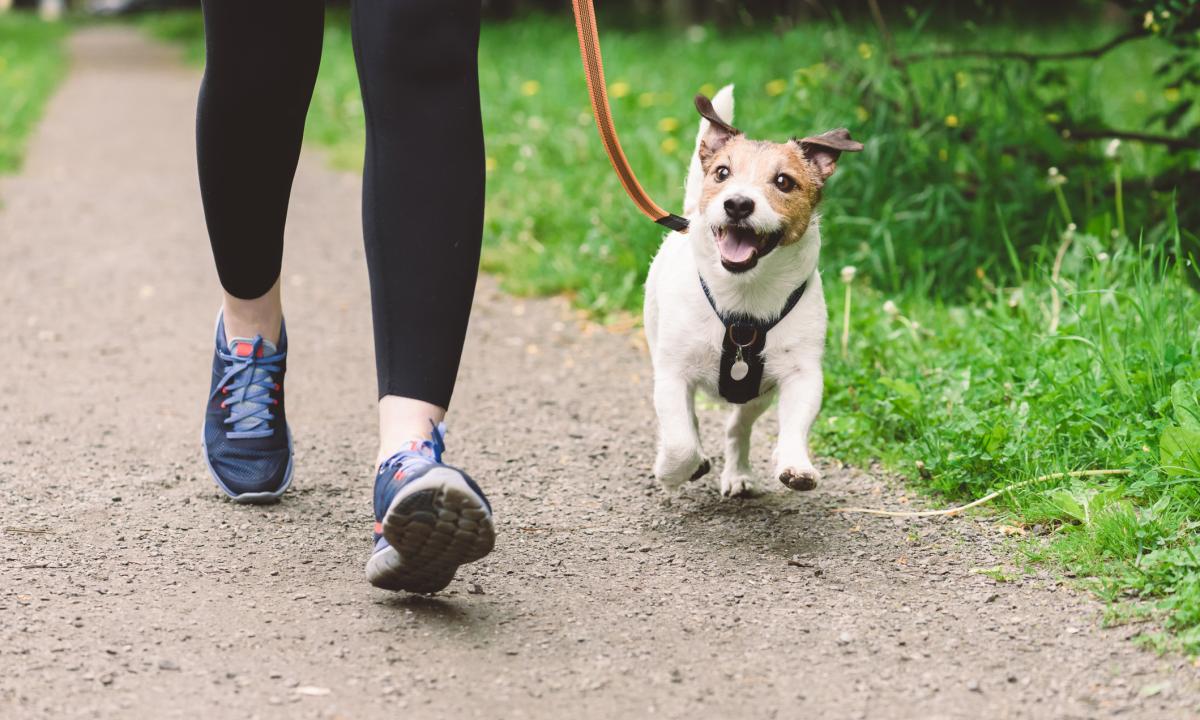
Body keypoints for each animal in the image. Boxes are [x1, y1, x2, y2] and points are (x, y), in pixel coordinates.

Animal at [648, 84, 864, 496]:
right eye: (722, 173)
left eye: (783, 182)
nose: (737, 203)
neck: (744, 299)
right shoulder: (671, 374)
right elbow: (681, 441)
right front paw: (672, 471)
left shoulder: (801, 374)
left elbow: (795, 424)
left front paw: (796, 464)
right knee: (690, 423)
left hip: (756, 395)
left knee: (738, 427)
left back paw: (738, 473)